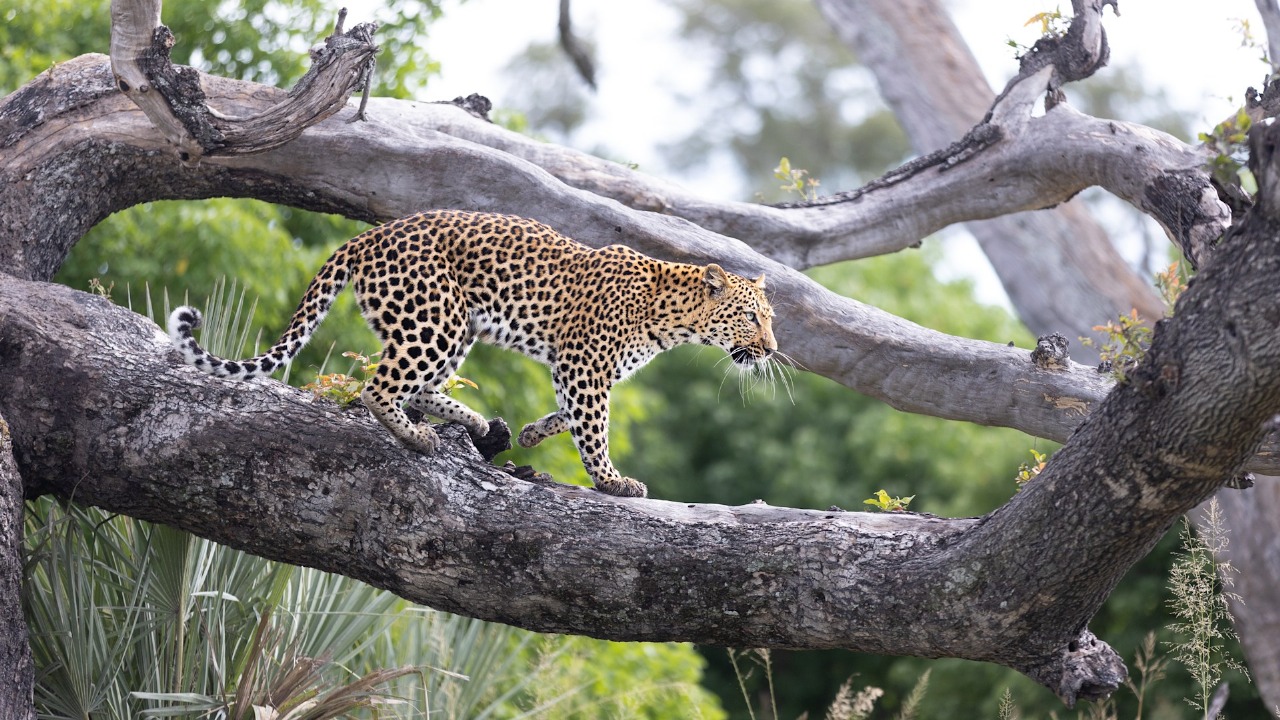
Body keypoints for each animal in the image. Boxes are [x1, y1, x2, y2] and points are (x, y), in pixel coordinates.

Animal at [168, 209, 778, 498]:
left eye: (770, 318)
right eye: (753, 317)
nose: (772, 349)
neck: (673, 319)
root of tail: (368, 236)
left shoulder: (575, 367)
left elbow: (570, 415)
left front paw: (532, 433)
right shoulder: (584, 363)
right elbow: (593, 425)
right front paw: (612, 481)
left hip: (454, 327)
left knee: (420, 385)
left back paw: (479, 424)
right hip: (435, 318)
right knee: (380, 386)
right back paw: (417, 436)